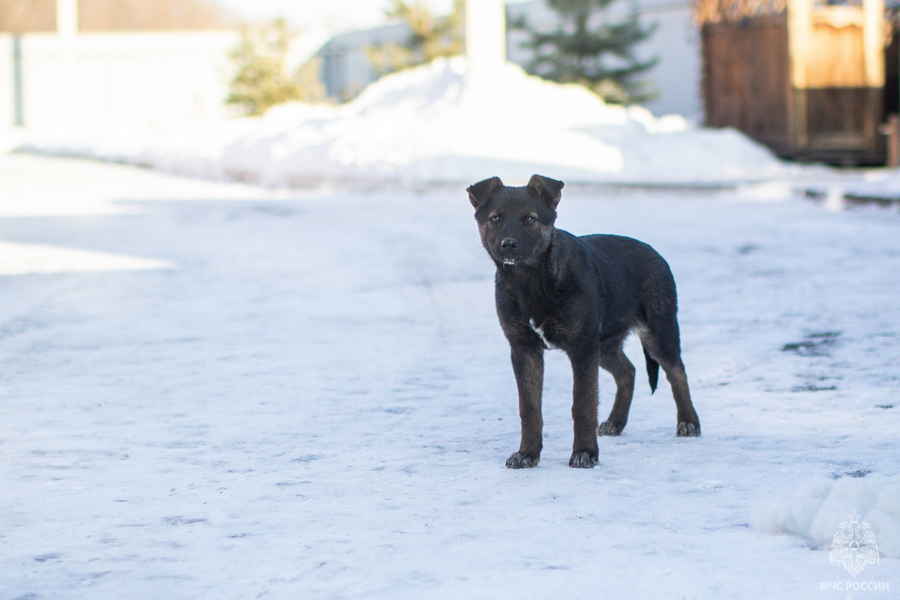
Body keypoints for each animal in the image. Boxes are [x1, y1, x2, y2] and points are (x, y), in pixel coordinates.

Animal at [468, 173, 700, 468]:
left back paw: (689, 422)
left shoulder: (581, 348)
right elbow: (529, 408)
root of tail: (654, 253)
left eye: (530, 219)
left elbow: (583, 404)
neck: (532, 281)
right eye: (495, 218)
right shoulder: (524, 349)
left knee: (677, 372)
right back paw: (615, 422)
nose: (508, 244)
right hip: (604, 344)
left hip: (656, 332)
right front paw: (527, 454)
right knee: (628, 371)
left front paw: (585, 452)